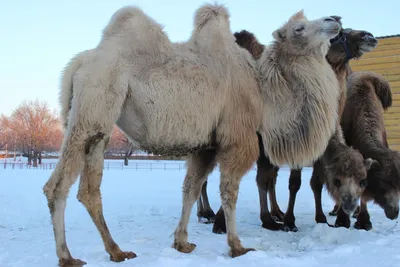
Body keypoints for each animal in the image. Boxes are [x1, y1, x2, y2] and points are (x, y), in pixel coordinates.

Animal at [44, 3, 344, 266]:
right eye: (299, 28)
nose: (334, 20)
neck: (263, 96)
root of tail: (79, 63)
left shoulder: (206, 146)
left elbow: (191, 188)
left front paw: (182, 242)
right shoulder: (238, 138)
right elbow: (229, 191)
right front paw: (237, 246)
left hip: (97, 124)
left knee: (89, 189)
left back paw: (116, 252)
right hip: (93, 107)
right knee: (57, 186)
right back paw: (67, 257)